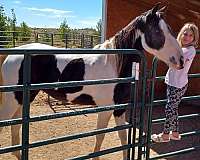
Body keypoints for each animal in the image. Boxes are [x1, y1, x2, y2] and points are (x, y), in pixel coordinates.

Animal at [0, 3, 184, 160]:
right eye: (158, 32)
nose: (181, 60)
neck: (114, 64)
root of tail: (12, 53)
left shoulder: (119, 109)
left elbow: (123, 138)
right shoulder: (106, 109)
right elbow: (100, 136)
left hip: (24, 97)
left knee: (15, 127)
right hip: (13, 99)